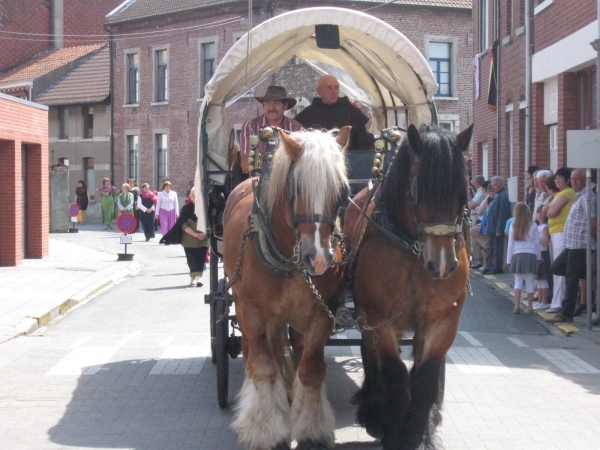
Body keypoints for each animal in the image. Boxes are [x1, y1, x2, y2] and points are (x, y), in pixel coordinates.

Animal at [223, 126, 350, 450]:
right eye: (298, 188)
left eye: (340, 192)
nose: (318, 258)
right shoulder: (251, 311)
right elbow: (263, 366)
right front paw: (265, 428)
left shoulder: (322, 313)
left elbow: (311, 368)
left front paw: (312, 428)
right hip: (241, 305)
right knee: (251, 352)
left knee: (295, 350)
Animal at [342, 123, 474, 450]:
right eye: (417, 190)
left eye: (463, 191)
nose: (442, 264)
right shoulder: (378, 318)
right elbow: (395, 373)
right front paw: (392, 430)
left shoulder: (443, 322)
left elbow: (425, 378)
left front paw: (418, 432)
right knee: (371, 354)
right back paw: (374, 407)